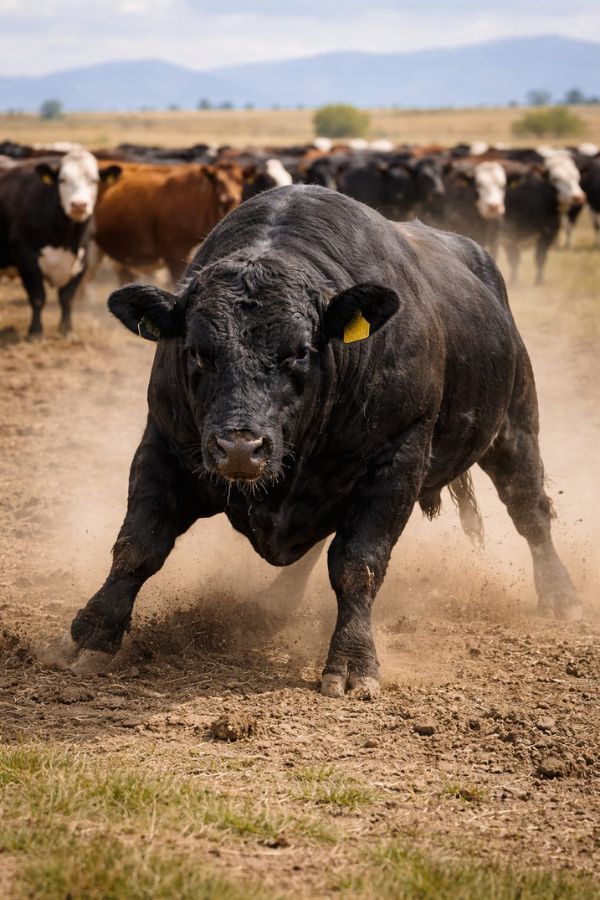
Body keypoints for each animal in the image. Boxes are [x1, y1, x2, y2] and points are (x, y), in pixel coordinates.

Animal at [0, 149, 121, 337]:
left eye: (94, 181)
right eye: (62, 180)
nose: (79, 205)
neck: (66, 239)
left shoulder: (83, 258)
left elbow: (67, 298)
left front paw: (67, 330)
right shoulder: (25, 255)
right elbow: (37, 296)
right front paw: (35, 332)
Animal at [53, 185, 579, 696]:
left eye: (300, 351)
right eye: (197, 351)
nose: (240, 448)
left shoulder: (397, 459)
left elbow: (358, 563)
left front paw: (352, 660)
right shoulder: (164, 443)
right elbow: (139, 545)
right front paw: (93, 633)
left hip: (514, 427)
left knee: (531, 510)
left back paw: (560, 594)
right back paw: (276, 603)